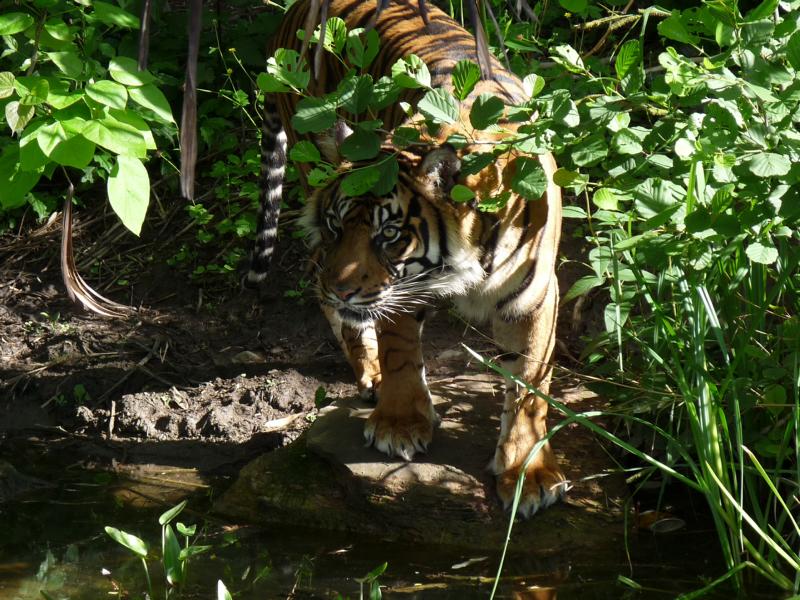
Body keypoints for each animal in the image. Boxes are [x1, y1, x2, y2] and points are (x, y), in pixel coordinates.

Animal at [246, 0, 567, 516]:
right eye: (338, 225)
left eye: (389, 234)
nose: (343, 289)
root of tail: (294, 13)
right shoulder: (397, 289)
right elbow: (399, 353)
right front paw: (398, 424)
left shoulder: (534, 297)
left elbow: (529, 391)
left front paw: (529, 474)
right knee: (322, 284)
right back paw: (368, 369)